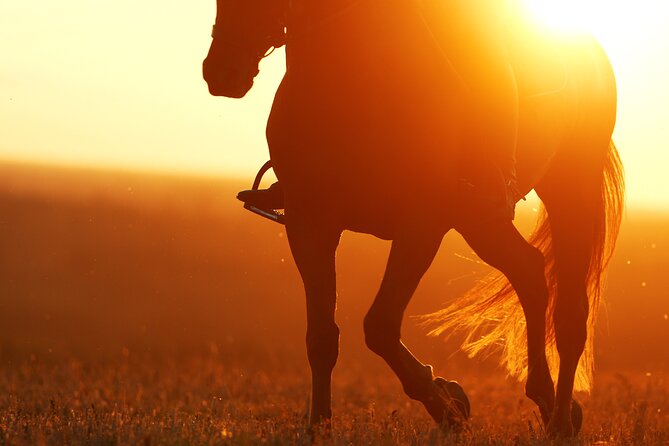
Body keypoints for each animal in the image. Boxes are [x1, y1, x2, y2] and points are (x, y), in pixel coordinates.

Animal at [203, 0, 624, 437]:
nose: (223, 73)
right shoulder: (310, 224)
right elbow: (321, 337)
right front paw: (319, 425)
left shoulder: (421, 226)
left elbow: (380, 326)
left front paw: (447, 405)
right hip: (481, 222)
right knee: (529, 272)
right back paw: (544, 398)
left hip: (570, 191)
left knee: (570, 314)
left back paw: (560, 420)